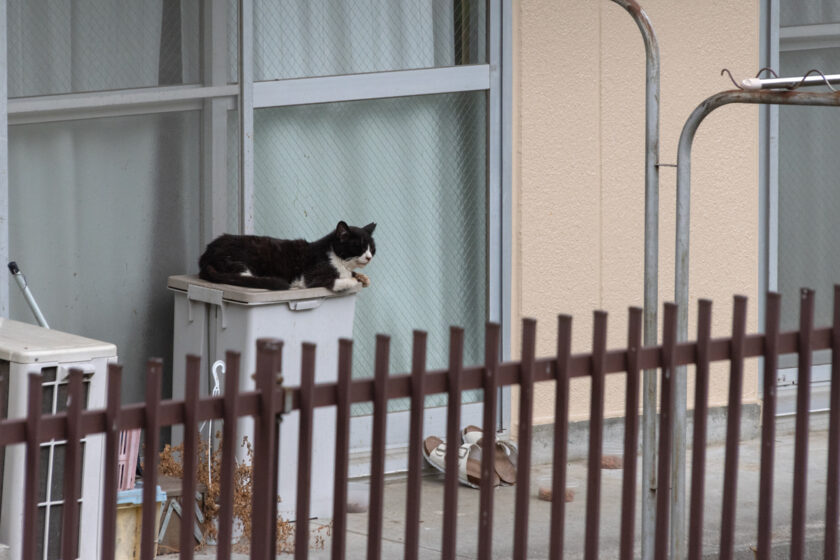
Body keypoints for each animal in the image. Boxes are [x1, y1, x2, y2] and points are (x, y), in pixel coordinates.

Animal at [199, 222, 376, 294]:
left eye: (372, 248)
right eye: (359, 247)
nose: (368, 257)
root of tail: (205, 255)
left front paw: (362, 277)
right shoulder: (312, 275)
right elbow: (334, 280)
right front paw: (353, 280)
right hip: (238, 261)